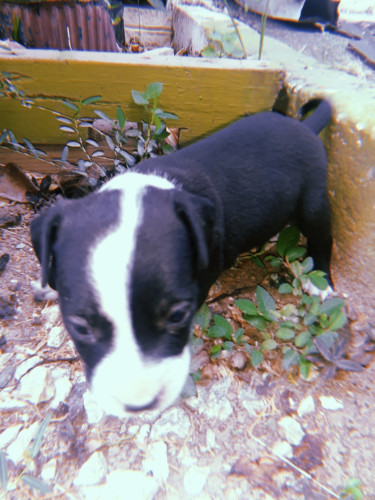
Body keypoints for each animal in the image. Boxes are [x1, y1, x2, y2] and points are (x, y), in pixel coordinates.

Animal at [30, 99, 334, 416]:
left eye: (178, 315)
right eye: (80, 327)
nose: (139, 405)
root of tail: (305, 127)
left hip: (314, 204)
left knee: (323, 240)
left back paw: (321, 284)